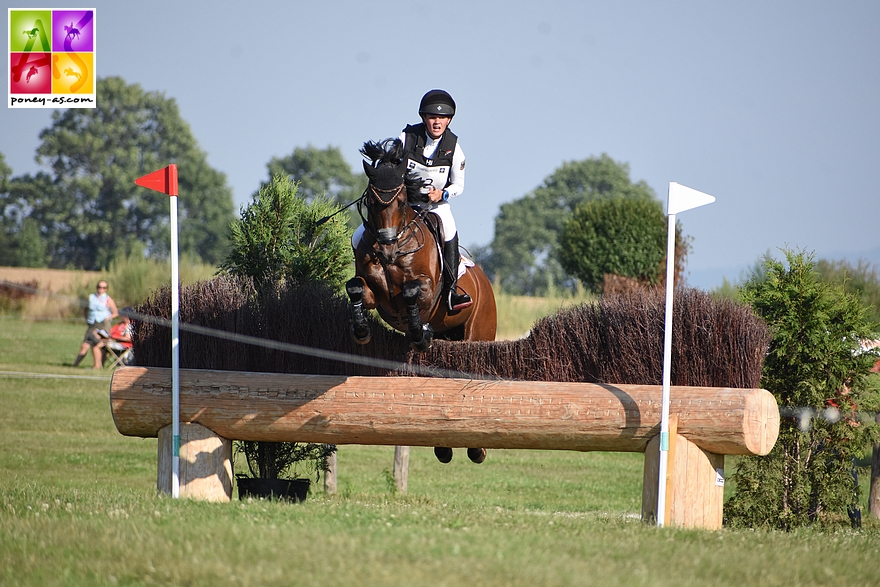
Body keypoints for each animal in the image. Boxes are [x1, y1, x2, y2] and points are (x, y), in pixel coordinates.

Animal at [344, 140, 496, 466]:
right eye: (372, 201)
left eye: (401, 201)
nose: (387, 248)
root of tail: (486, 282)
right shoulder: (375, 293)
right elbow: (356, 288)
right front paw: (361, 331)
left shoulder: (425, 289)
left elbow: (412, 292)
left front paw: (419, 334)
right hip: (450, 334)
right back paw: (444, 447)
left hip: (477, 332)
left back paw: (476, 449)